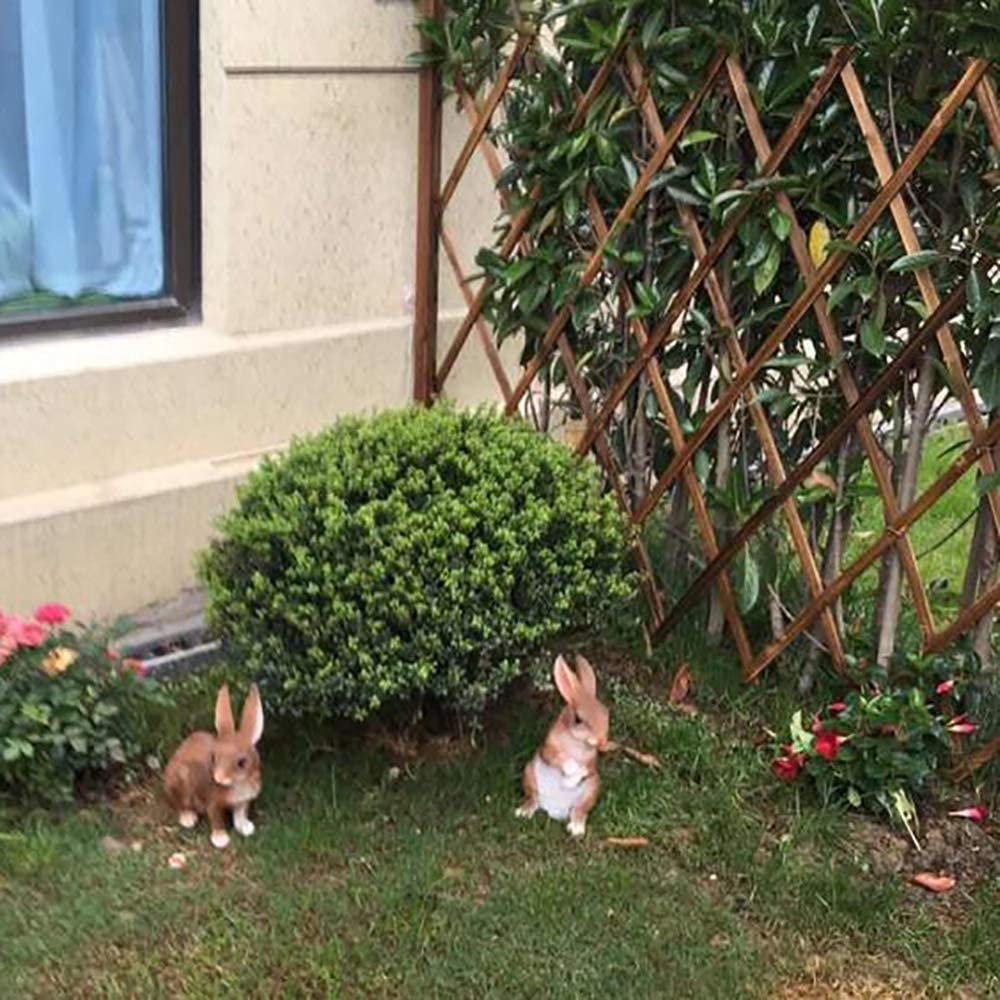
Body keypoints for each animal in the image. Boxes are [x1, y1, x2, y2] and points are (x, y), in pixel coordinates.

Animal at [163, 684, 264, 849]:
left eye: (242, 762)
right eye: (213, 757)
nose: (219, 778)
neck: (238, 783)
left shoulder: (243, 801)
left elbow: (240, 815)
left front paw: (246, 827)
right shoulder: (213, 803)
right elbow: (216, 819)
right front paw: (221, 839)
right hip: (180, 783)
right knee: (179, 804)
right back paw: (188, 819)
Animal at [515, 653, 609, 837]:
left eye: (606, 713)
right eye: (578, 719)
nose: (601, 740)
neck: (577, 742)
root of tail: (555, 810)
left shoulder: (591, 763)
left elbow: (586, 769)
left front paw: (571, 780)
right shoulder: (549, 748)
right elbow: (558, 758)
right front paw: (570, 772)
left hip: (593, 788)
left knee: (580, 810)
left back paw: (576, 827)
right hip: (529, 773)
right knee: (533, 799)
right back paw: (523, 812)